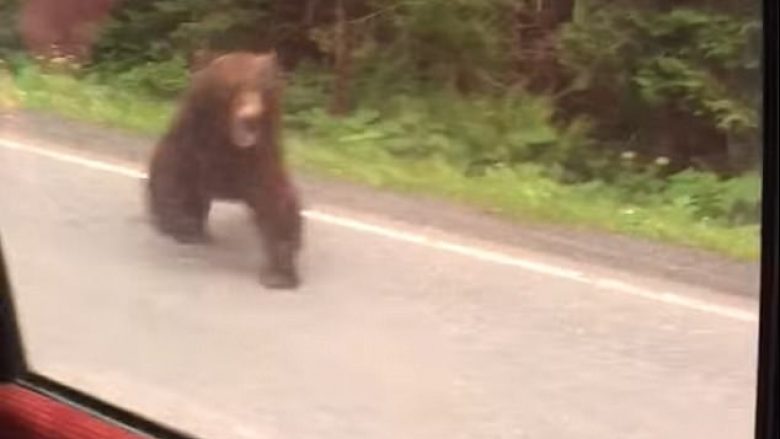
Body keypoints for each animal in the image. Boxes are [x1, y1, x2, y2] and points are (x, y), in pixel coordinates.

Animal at [148, 51, 304, 290]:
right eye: (233, 88)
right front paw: (184, 227)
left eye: (262, 88)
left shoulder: (258, 157)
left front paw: (279, 275)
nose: (251, 116)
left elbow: (277, 201)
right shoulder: (194, 142)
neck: (227, 142)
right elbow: (173, 174)